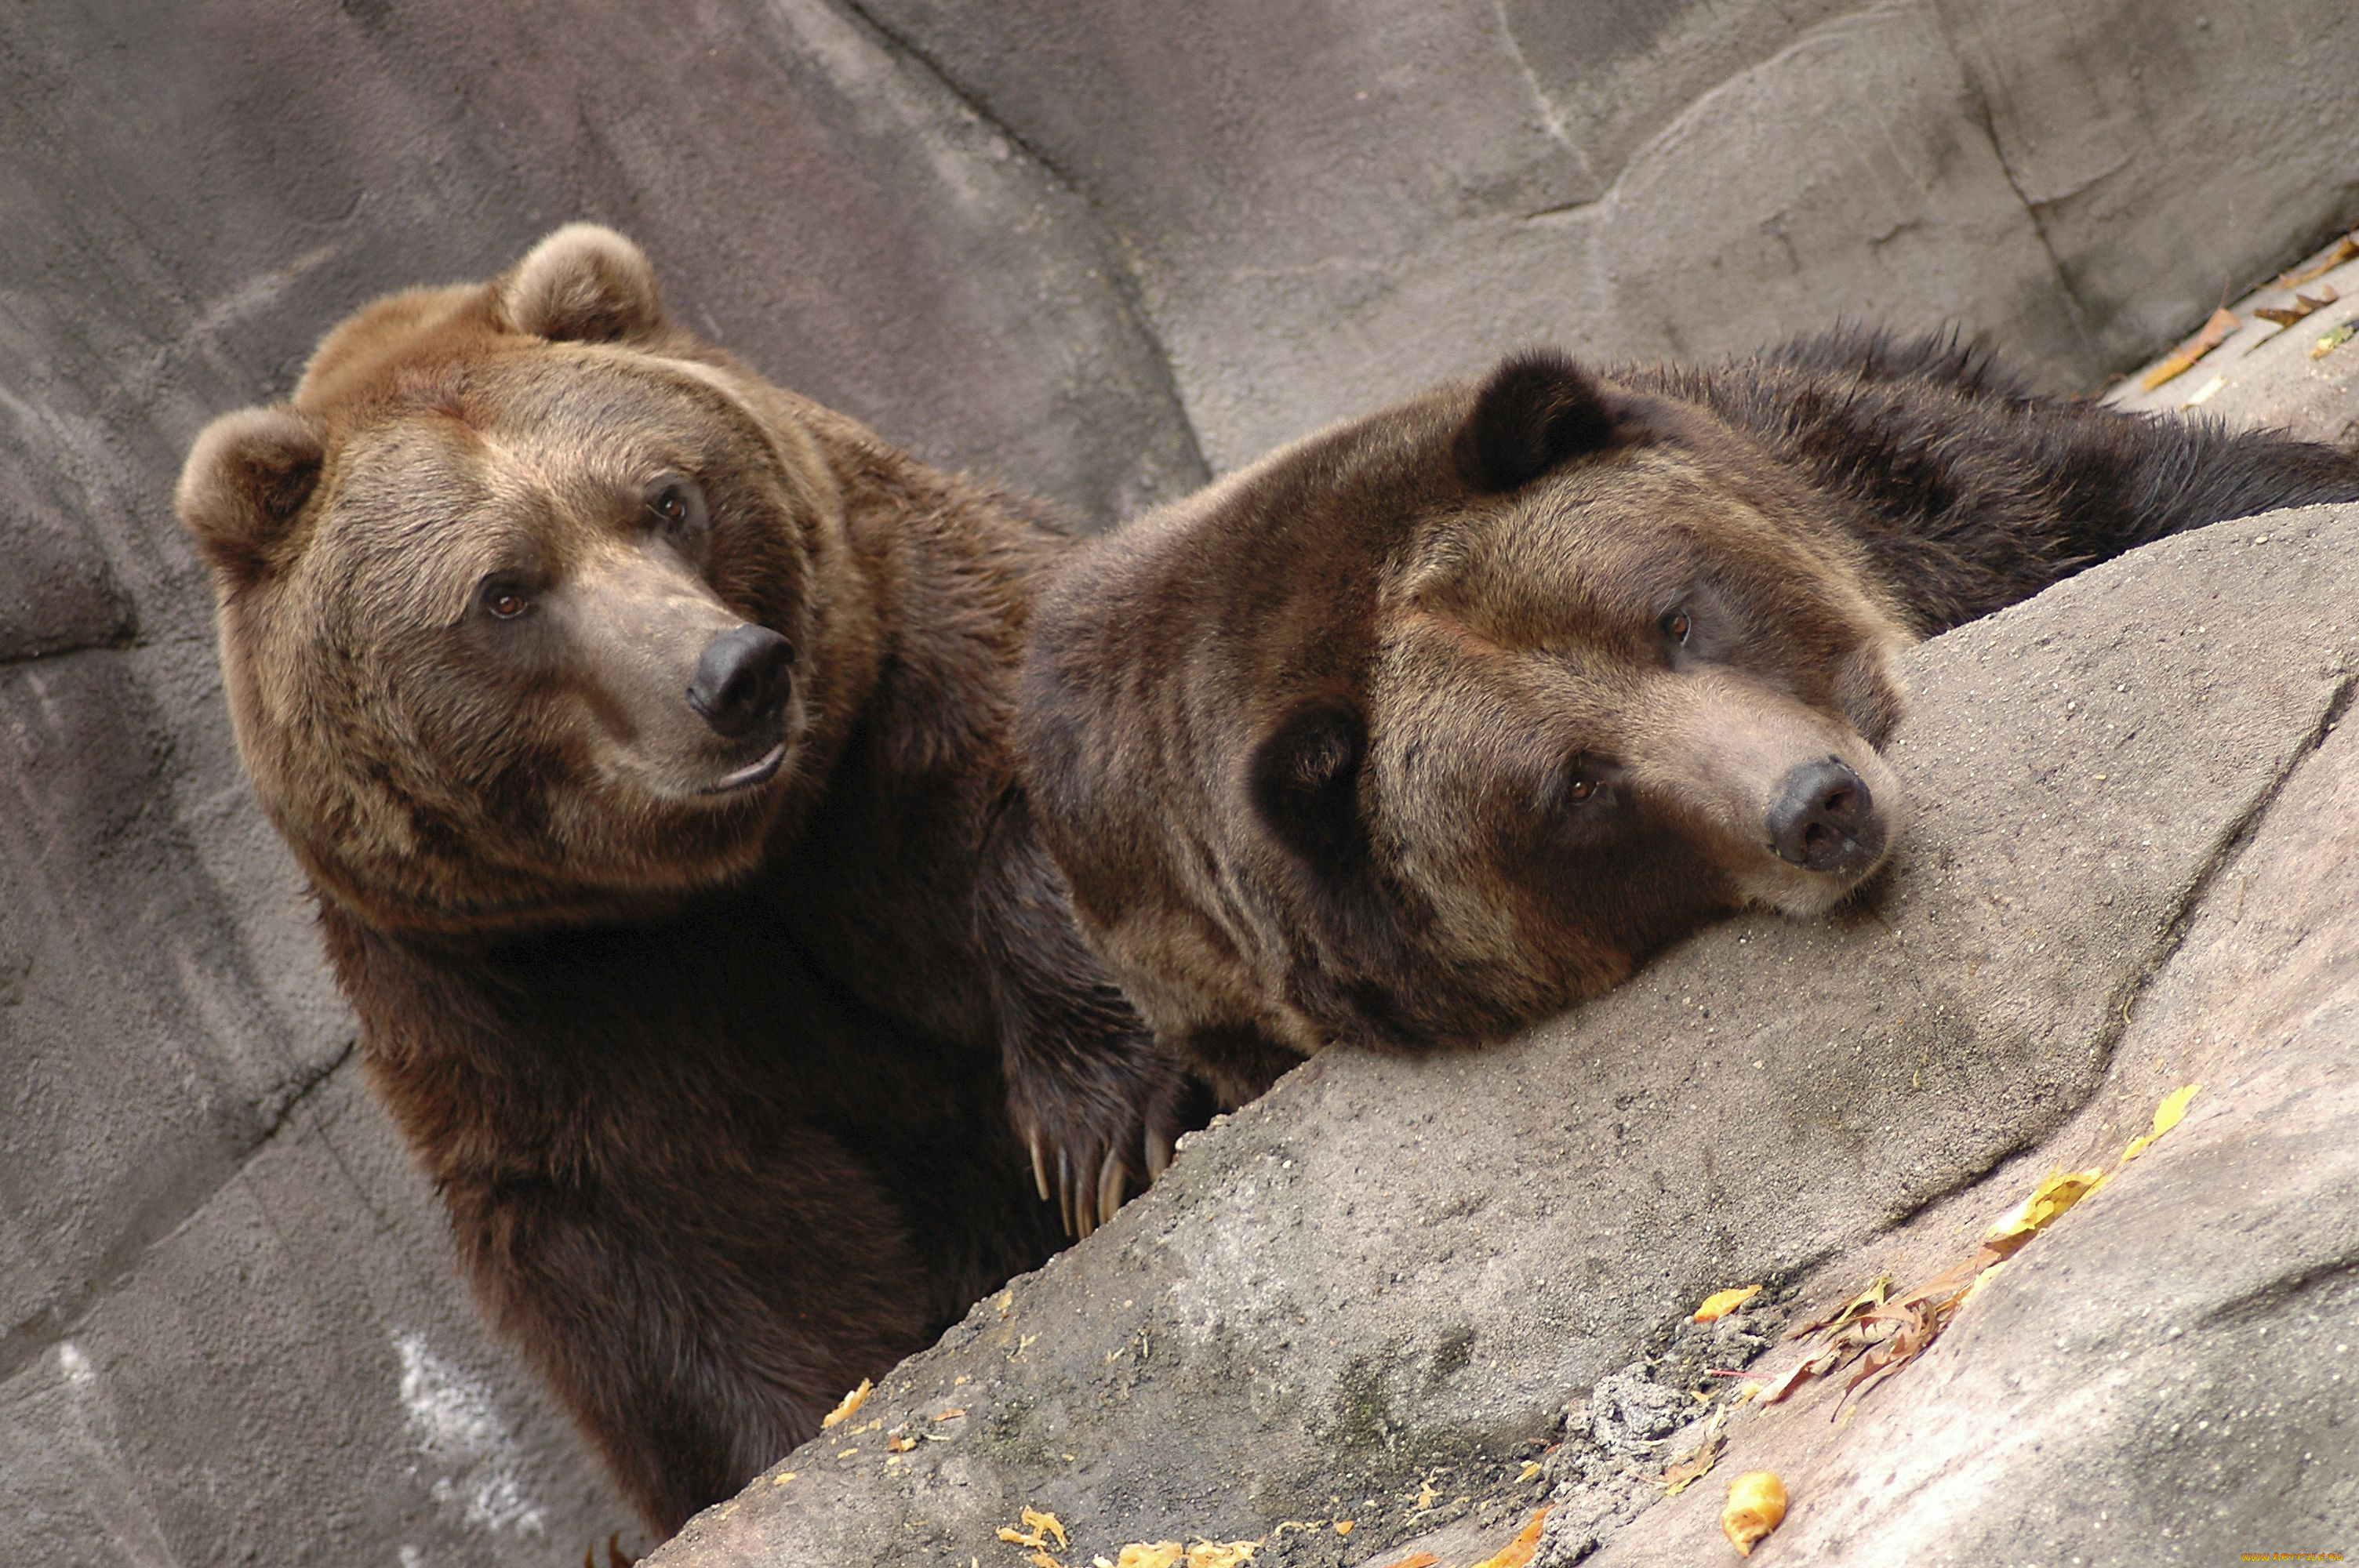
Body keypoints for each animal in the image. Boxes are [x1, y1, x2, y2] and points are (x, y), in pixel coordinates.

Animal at [174, 226, 1189, 1537]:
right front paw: (794, 1436)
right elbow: (685, 1252)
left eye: (665, 497)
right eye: (505, 590)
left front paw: (1094, 1133)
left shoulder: (907, 646)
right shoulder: (528, 990)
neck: (721, 869)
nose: (731, 675)